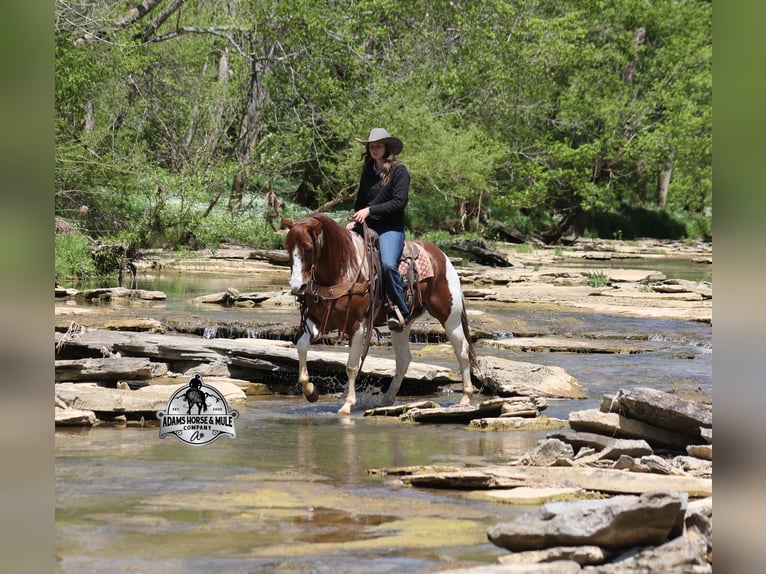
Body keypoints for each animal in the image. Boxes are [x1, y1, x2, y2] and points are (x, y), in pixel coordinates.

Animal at [284, 213, 479, 415]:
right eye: (288, 248)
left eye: (308, 248)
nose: (297, 287)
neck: (344, 269)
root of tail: (442, 256)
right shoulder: (317, 319)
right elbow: (301, 346)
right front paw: (310, 392)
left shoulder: (357, 325)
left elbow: (352, 366)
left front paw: (347, 405)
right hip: (401, 325)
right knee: (404, 359)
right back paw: (386, 399)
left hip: (450, 316)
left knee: (462, 350)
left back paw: (465, 397)